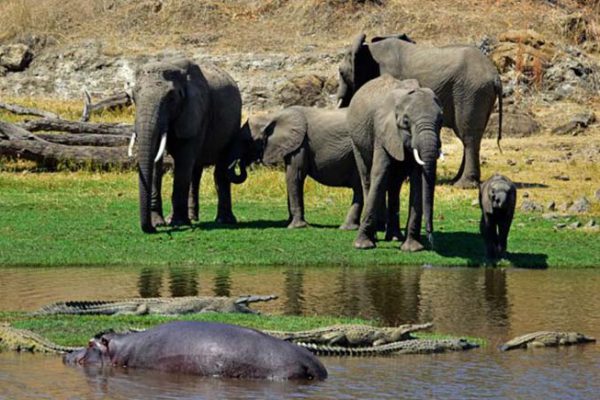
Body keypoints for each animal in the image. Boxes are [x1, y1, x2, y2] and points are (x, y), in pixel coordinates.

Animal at [131, 57, 246, 233]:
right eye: (133, 96)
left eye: (171, 98)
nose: (151, 229)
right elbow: (157, 162)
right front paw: (159, 223)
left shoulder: (196, 112)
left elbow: (183, 161)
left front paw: (178, 223)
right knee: (195, 172)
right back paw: (192, 218)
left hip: (233, 124)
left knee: (219, 170)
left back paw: (224, 221)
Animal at [338, 32, 502, 188]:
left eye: (340, 72)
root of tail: (495, 75)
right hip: (479, 94)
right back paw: (456, 180)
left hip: (471, 93)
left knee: (468, 135)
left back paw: (463, 185)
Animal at [346, 76, 446, 250]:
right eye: (406, 122)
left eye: (441, 120)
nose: (431, 240)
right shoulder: (383, 132)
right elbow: (379, 174)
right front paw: (362, 245)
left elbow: (417, 181)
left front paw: (413, 248)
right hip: (356, 141)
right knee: (367, 178)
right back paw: (376, 237)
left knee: (395, 185)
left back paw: (394, 237)